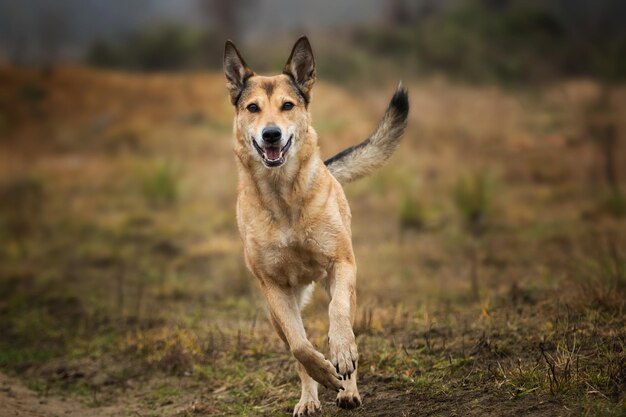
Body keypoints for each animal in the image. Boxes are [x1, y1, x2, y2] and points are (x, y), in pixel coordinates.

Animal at [222, 36, 408, 416]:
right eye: (252, 108)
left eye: (287, 105)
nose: (272, 134)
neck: (283, 197)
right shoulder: (275, 289)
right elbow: (300, 346)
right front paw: (322, 372)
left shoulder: (342, 265)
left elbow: (338, 317)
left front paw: (341, 356)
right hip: (277, 309)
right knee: (298, 347)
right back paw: (310, 397)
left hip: (338, 284)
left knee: (345, 320)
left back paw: (348, 387)